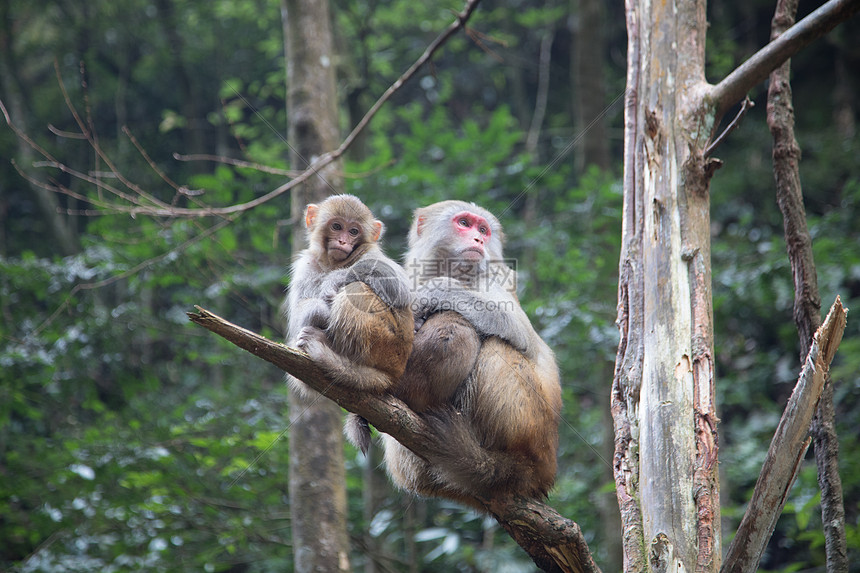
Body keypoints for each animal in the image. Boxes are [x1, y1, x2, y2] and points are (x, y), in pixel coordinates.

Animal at [284, 193, 414, 452]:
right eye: (337, 226)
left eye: (354, 231)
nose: (343, 241)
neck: (334, 263)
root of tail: (394, 372)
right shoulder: (306, 265)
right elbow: (300, 312)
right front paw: (316, 309)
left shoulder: (371, 253)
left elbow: (399, 287)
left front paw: (333, 281)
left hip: (386, 344)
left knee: (355, 289)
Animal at [382, 200, 556, 504]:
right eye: (464, 223)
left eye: (483, 230)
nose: (478, 240)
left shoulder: (493, 280)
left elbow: (521, 334)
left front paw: (439, 289)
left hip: (533, 427)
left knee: (496, 344)